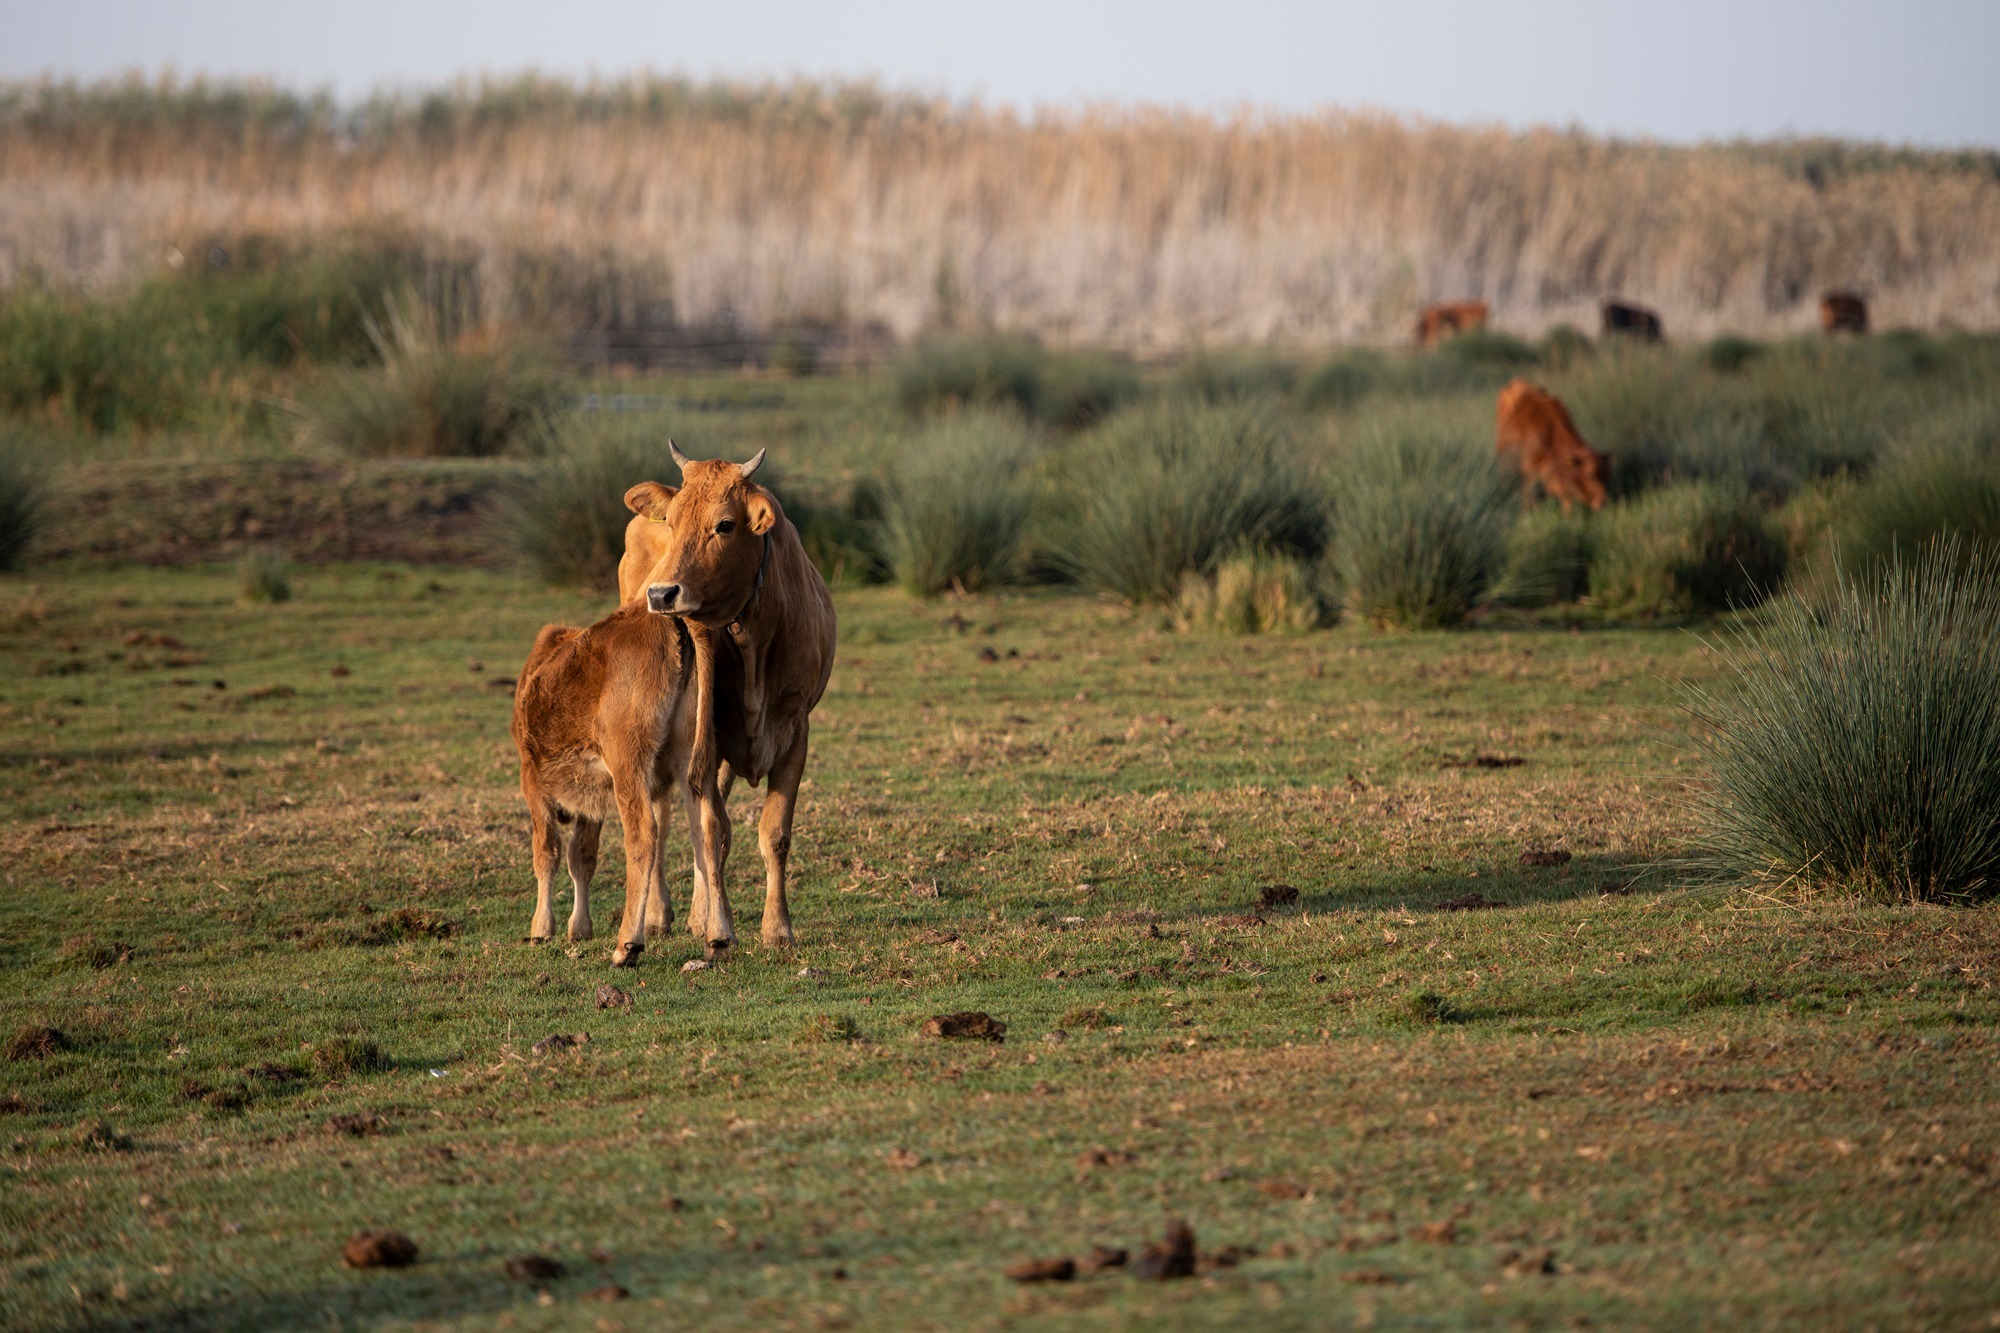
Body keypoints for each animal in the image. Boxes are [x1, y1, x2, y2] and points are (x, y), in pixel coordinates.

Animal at [512, 552, 724, 964]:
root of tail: (670, 621)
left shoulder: (532, 780)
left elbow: (547, 852)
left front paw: (541, 928)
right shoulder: (591, 797)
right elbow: (582, 857)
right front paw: (579, 928)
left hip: (629, 761)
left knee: (643, 833)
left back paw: (627, 944)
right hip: (693, 760)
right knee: (708, 827)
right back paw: (719, 934)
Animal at [616, 446, 836, 956]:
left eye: (725, 525)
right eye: (673, 521)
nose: (662, 593)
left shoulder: (796, 730)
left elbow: (773, 833)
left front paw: (777, 928)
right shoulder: (709, 735)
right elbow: (713, 828)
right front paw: (720, 924)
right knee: (665, 814)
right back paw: (659, 914)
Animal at [1496, 384, 1616, 512]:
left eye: (1607, 476)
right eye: (1589, 476)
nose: (1603, 502)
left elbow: (1566, 498)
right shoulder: (1529, 466)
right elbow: (1529, 491)